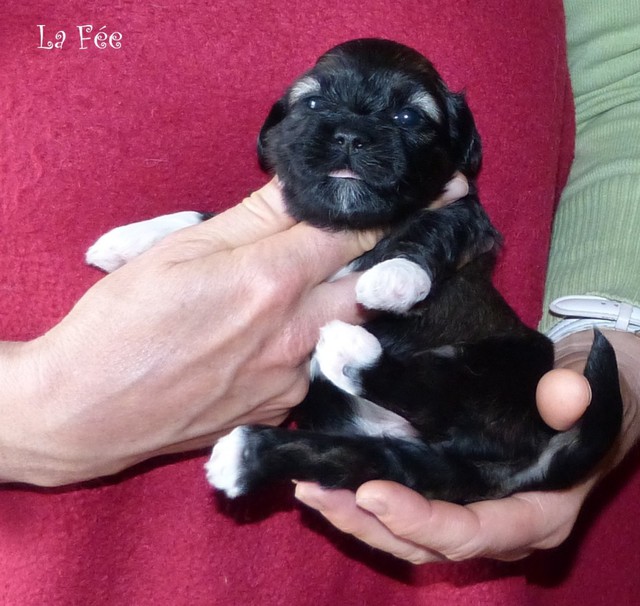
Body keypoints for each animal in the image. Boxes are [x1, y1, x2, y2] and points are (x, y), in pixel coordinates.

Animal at [87, 39, 622, 504]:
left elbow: (430, 230)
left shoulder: (469, 215)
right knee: (364, 457)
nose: (350, 134)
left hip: (503, 370)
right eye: (313, 103)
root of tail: (516, 468)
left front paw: (394, 277)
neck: (347, 221)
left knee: (439, 396)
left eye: (408, 116)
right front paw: (130, 240)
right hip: (395, 452)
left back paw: (349, 350)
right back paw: (245, 457)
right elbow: (206, 217)